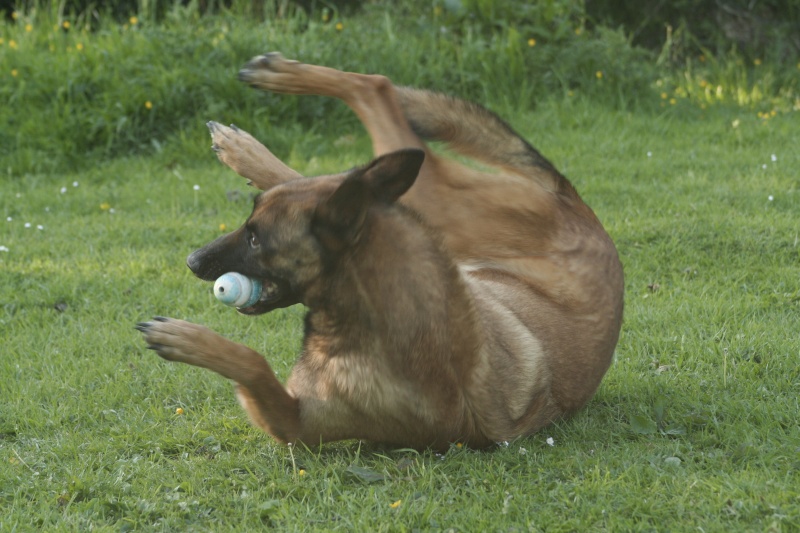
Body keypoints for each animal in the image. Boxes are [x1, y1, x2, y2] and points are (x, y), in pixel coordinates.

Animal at [136, 53, 624, 448]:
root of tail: (578, 204)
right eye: (247, 225)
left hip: (442, 199)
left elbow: (252, 362)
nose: (193, 261)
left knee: (377, 86)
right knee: (351, 135)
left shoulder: (296, 423)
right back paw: (248, 133)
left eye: (256, 239)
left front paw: (181, 337)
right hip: (420, 204)